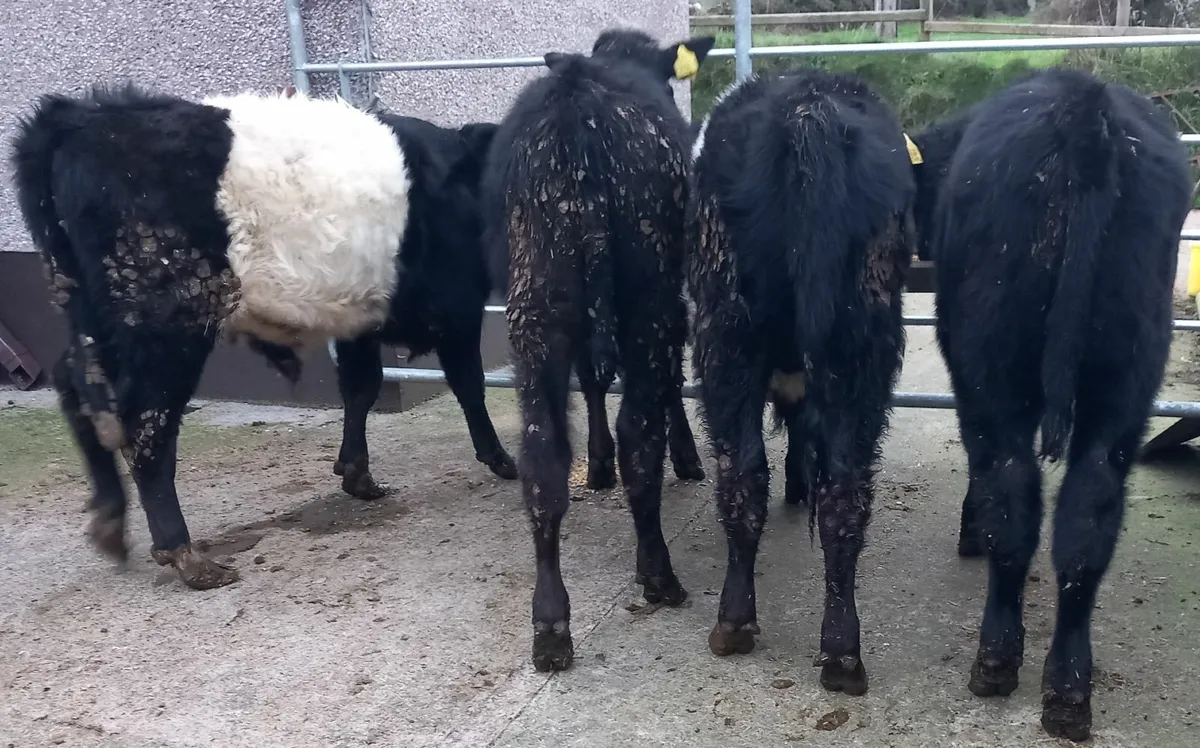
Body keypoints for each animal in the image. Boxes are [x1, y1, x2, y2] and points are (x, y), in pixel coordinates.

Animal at [480, 28, 714, 672]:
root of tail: (577, 103)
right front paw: (686, 457)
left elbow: (590, 381)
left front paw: (600, 462)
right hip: (648, 299)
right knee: (640, 433)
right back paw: (657, 573)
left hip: (537, 312)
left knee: (543, 458)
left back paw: (550, 623)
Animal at [688, 68, 916, 696]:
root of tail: (806, 111)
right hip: (852, 347)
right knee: (838, 491)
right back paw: (837, 650)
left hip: (729, 338)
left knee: (747, 476)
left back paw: (742, 625)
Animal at [909, 67, 1194, 741]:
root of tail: (1081, 105)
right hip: (1099, 380)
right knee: (1059, 509)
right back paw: (1044, 677)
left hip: (1029, 381)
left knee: (1042, 507)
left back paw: (1025, 671)